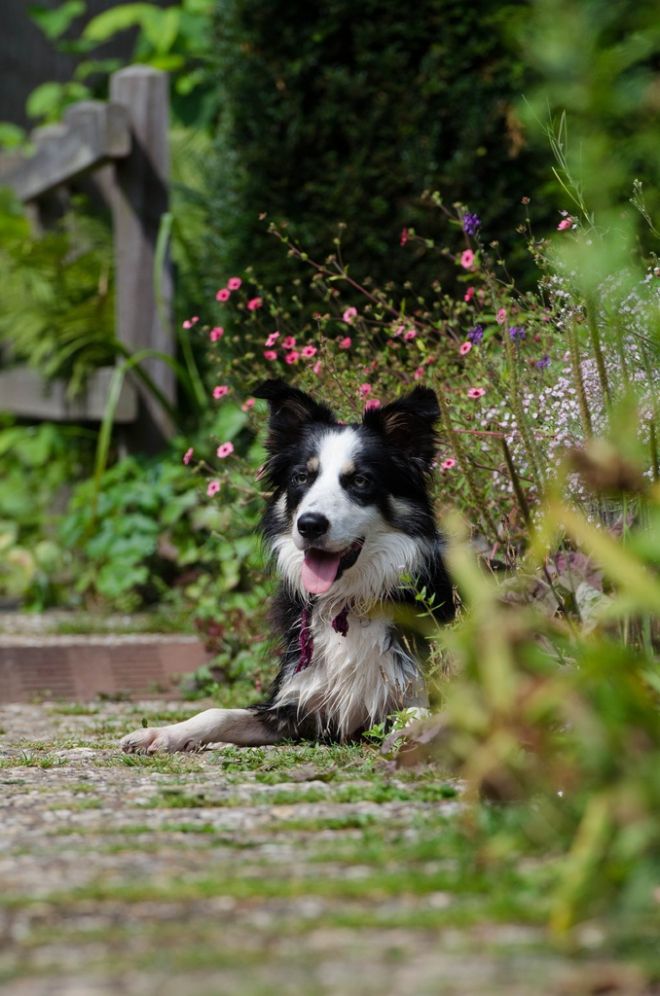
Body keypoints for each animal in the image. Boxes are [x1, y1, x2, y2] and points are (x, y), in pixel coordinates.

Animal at [121, 378, 454, 752]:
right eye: (301, 478)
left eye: (360, 481)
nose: (309, 525)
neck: (348, 602)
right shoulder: (298, 703)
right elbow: (217, 713)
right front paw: (162, 732)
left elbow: (421, 717)